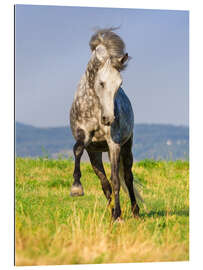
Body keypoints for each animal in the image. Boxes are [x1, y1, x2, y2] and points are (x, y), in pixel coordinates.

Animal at [69, 28, 142, 220]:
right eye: (101, 83)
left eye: (119, 84)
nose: (108, 119)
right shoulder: (86, 141)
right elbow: (77, 150)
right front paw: (76, 188)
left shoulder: (114, 144)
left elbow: (116, 181)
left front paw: (118, 216)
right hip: (98, 152)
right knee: (105, 183)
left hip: (125, 147)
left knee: (128, 178)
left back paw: (135, 212)